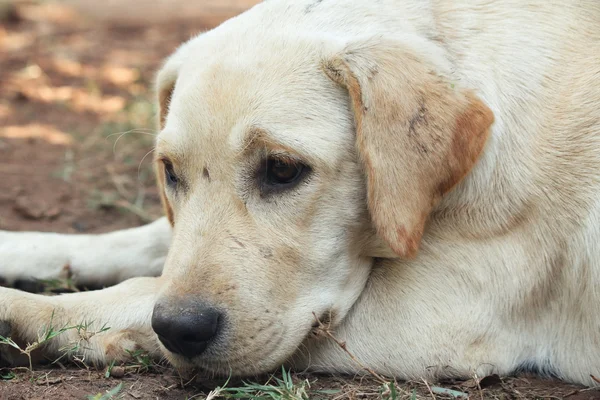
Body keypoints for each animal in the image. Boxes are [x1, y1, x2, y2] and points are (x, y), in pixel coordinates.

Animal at [1, 0, 600, 388]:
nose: (179, 330)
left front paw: (24, 311)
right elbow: (139, 244)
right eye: (169, 171)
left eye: (283, 169)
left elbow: (135, 291)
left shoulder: (436, 319)